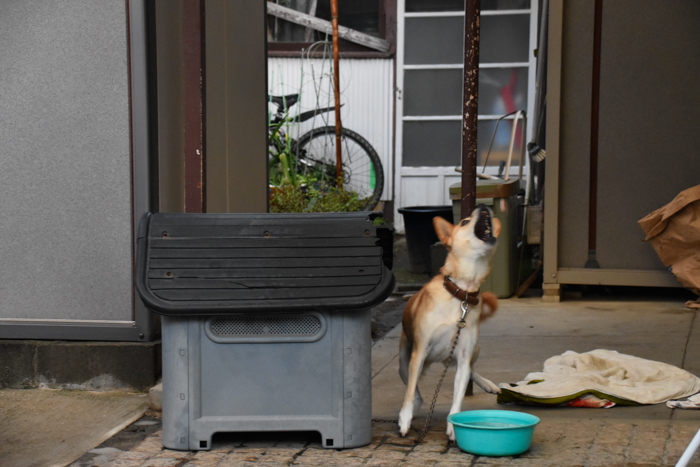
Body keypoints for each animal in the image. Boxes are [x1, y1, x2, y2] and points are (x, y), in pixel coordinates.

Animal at [400, 206, 504, 442]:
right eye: (464, 221)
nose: (483, 206)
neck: (461, 294)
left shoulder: (464, 355)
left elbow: (459, 396)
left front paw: (453, 426)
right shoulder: (418, 352)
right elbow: (410, 393)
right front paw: (405, 418)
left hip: (475, 350)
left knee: (470, 370)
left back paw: (488, 384)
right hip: (404, 361)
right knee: (414, 387)